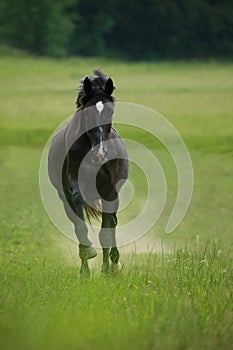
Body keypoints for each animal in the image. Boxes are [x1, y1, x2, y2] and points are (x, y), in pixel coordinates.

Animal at [47, 69, 127, 274]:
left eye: (111, 111)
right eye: (88, 114)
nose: (100, 153)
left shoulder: (109, 191)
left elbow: (106, 231)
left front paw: (107, 270)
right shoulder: (72, 183)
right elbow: (79, 218)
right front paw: (88, 255)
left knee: (112, 223)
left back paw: (114, 262)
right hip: (64, 198)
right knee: (78, 223)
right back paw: (85, 269)